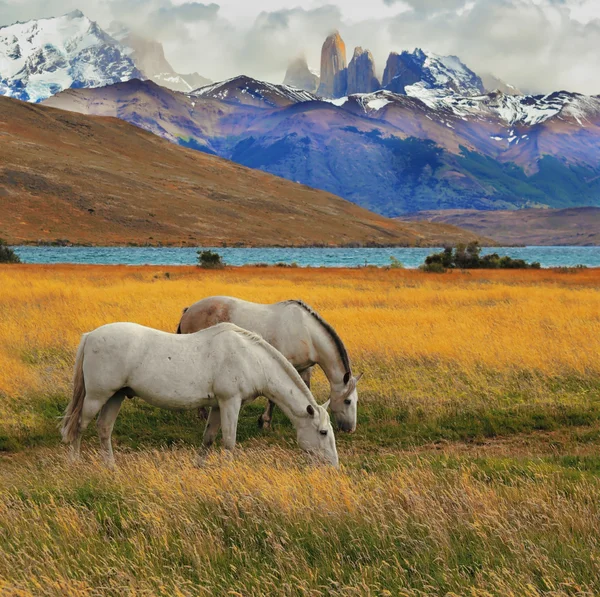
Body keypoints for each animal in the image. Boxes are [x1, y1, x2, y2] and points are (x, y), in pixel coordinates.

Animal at [64, 322, 342, 466]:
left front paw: (199, 467)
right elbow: (229, 441)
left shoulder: (218, 405)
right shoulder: (230, 402)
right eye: (323, 432)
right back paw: (74, 463)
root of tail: (91, 336)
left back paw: (111, 467)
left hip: (116, 396)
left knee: (104, 428)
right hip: (97, 396)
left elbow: (208, 439)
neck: (250, 357)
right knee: (78, 427)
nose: (333, 465)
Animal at [175, 296, 360, 428]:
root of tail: (189, 310)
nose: (350, 429)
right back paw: (202, 415)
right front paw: (264, 422)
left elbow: (305, 390)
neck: (307, 333)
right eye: (347, 401)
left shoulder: (304, 368)